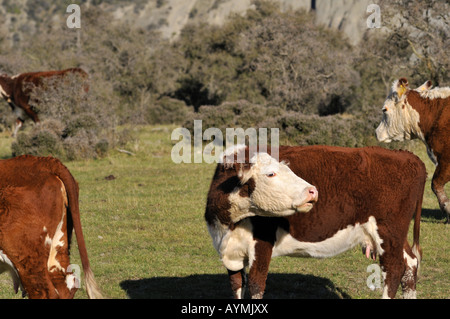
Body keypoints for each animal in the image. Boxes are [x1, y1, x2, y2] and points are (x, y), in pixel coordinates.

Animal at [206, 145, 428, 300]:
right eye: (271, 173)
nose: (313, 190)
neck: (228, 226)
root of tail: (407, 155)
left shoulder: (261, 245)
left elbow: (255, 287)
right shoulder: (231, 254)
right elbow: (236, 286)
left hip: (388, 231)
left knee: (394, 269)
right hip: (396, 234)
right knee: (410, 264)